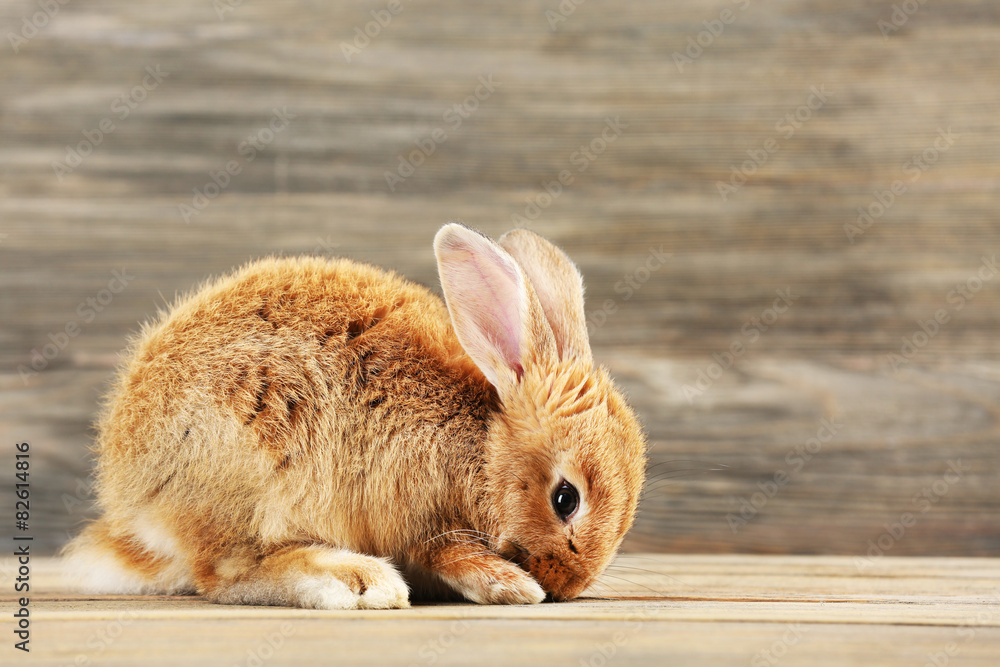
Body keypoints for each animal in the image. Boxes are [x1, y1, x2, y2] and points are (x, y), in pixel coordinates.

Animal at [62, 223, 647, 609]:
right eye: (565, 499)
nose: (568, 585)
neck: (482, 447)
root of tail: (129, 500)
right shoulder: (419, 518)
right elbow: (448, 553)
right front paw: (510, 585)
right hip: (243, 471)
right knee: (227, 574)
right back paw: (355, 581)